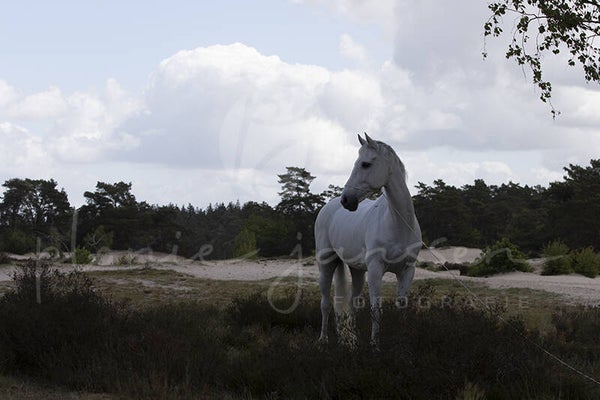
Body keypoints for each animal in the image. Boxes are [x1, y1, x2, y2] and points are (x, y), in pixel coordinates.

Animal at [315, 133, 422, 345]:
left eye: (365, 164)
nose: (346, 200)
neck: (398, 224)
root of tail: (327, 207)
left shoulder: (407, 270)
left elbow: (402, 307)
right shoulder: (375, 269)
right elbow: (376, 310)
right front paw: (375, 346)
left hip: (357, 270)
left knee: (352, 304)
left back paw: (353, 341)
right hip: (326, 264)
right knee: (325, 303)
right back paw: (323, 340)